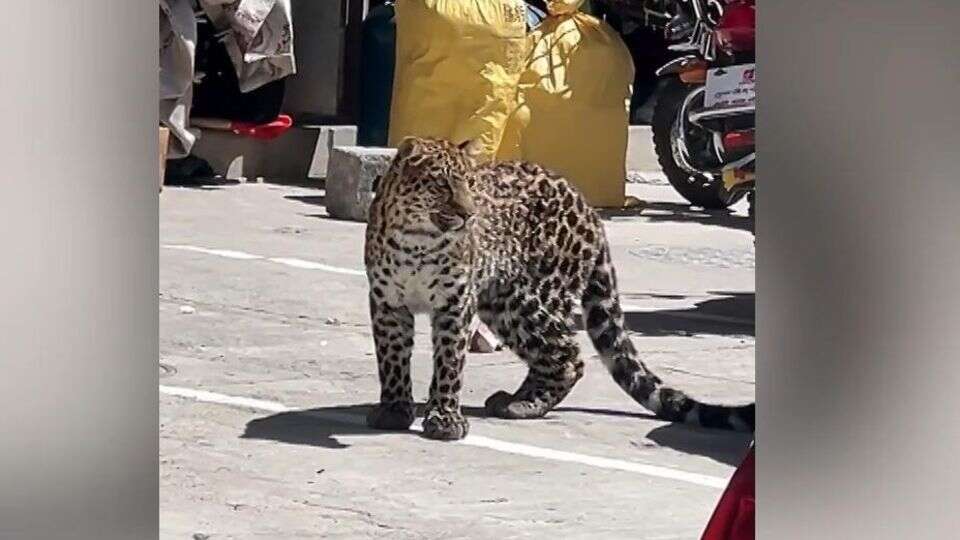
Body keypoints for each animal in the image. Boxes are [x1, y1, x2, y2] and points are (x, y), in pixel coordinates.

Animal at [364, 137, 752, 440]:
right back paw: (514, 400)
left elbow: (449, 363)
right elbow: (392, 358)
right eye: (442, 185)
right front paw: (395, 409)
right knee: (552, 356)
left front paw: (444, 419)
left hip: (526, 299)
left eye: (470, 185)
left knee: (568, 356)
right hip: (502, 303)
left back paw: (522, 405)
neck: (417, 239)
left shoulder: (455, 303)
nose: (469, 215)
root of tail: (589, 207)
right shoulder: (387, 303)